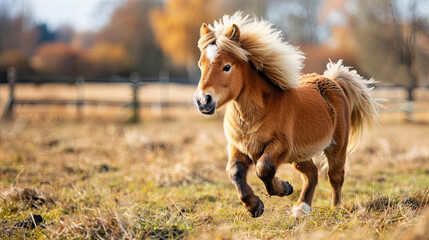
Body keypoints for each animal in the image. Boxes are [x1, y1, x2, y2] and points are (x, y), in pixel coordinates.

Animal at [194, 12, 378, 218]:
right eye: (201, 65)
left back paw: (335, 208)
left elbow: (264, 168)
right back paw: (301, 209)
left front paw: (284, 188)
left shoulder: (281, 146)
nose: (203, 100)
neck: (252, 115)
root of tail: (332, 81)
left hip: (335, 147)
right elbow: (234, 171)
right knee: (311, 174)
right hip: (300, 155)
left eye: (227, 67)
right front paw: (254, 206)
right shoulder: (238, 147)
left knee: (335, 175)